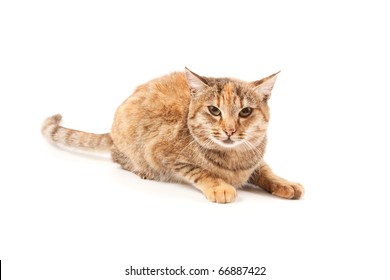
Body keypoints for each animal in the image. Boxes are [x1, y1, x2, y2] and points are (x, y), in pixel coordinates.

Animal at [42, 68, 304, 203]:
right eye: (214, 110)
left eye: (246, 111)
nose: (229, 130)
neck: (234, 159)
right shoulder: (165, 155)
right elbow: (200, 171)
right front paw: (219, 186)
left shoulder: (256, 158)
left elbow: (266, 170)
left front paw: (284, 182)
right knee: (120, 158)